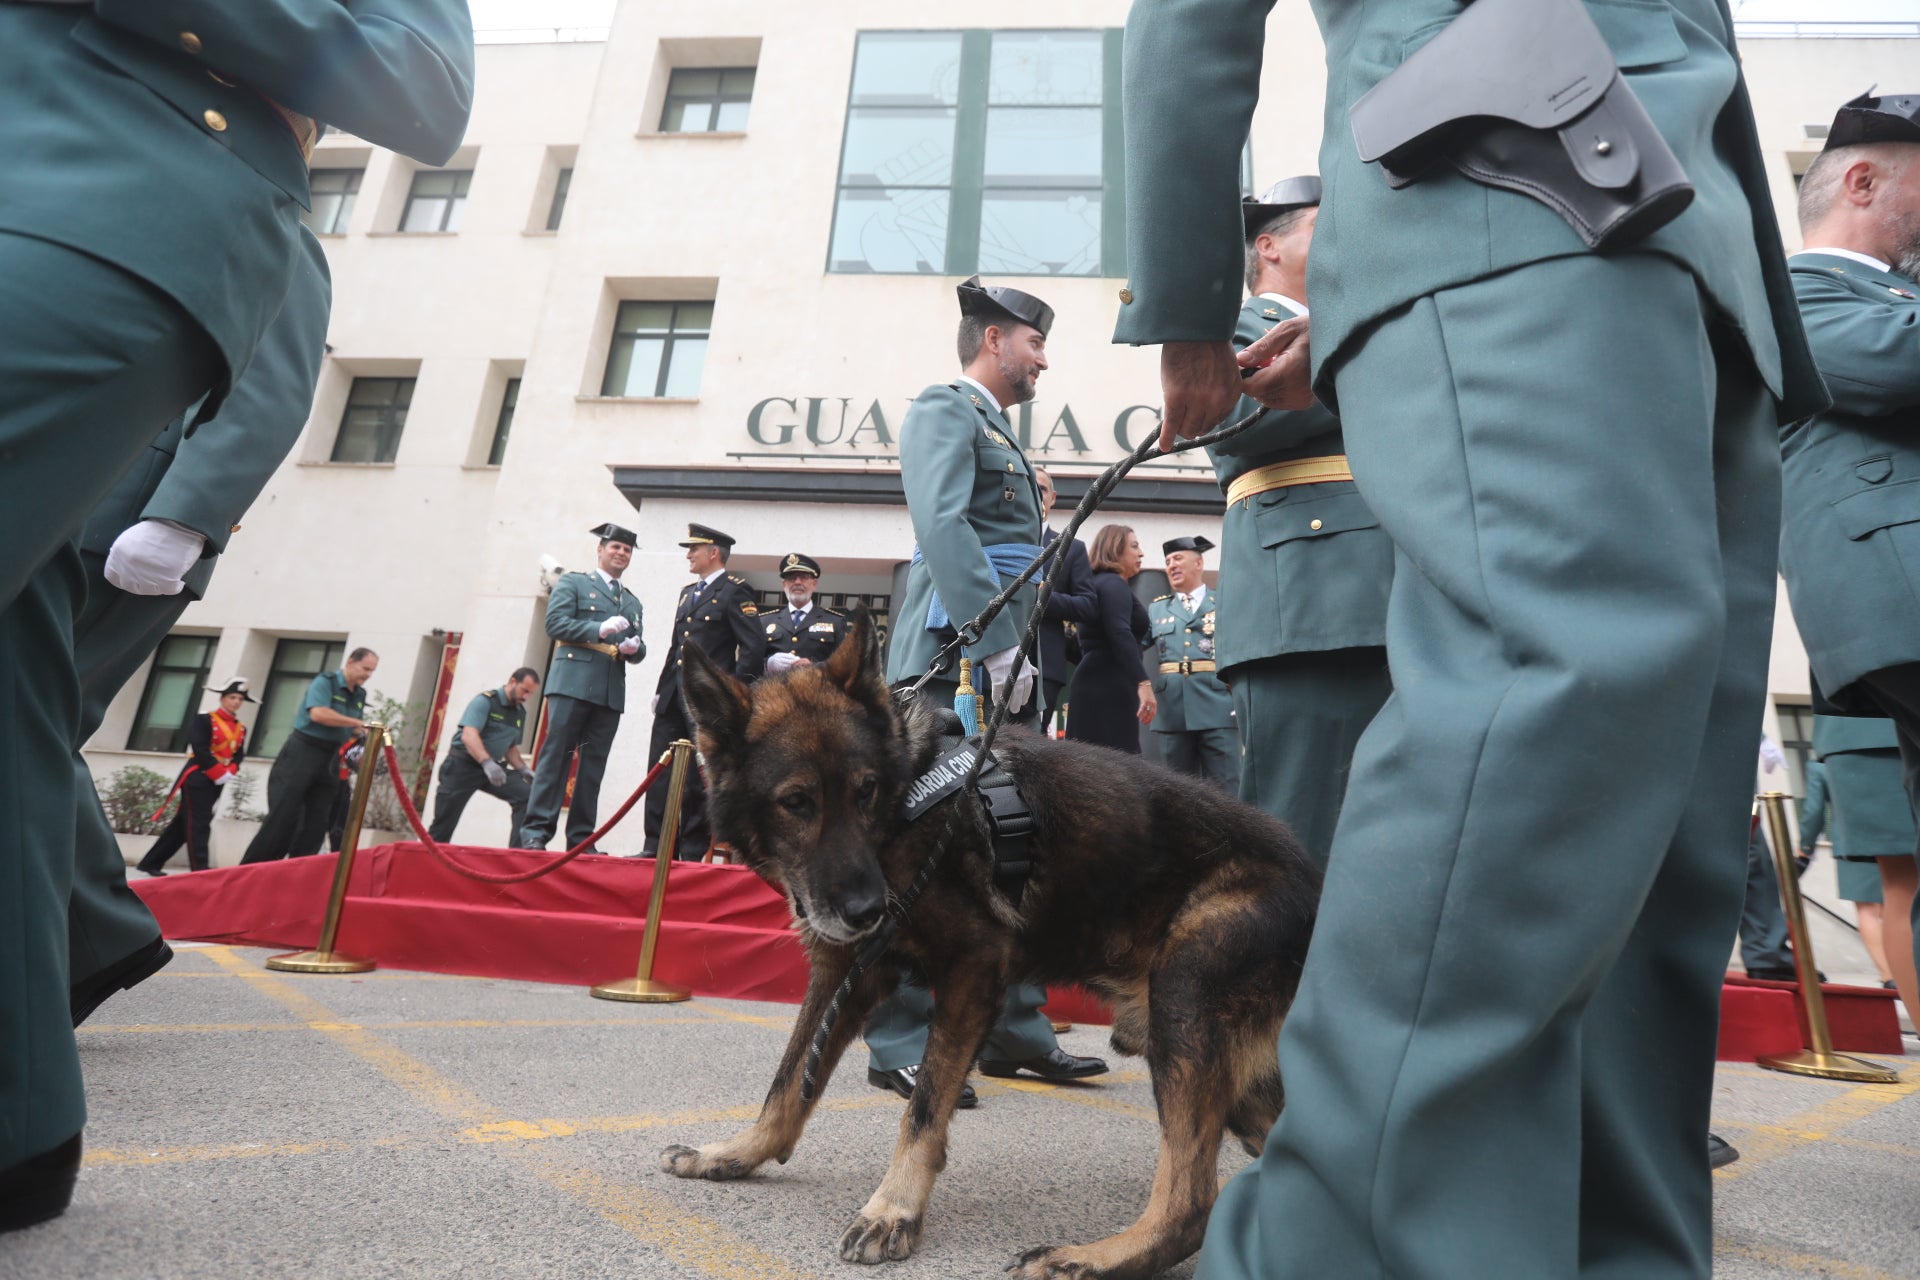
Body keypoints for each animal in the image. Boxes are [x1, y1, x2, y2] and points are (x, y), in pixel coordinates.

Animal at [660, 614, 1320, 1274]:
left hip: (1183, 997)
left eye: (866, 792)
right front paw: (738, 1152)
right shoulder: (844, 969)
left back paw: (1092, 1257)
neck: (909, 800)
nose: (869, 910)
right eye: (796, 802)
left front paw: (893, 1208)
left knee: (1191, 1201)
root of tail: (1317, 882)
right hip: (1228, 1071)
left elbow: (925, 1107)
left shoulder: (971, 970)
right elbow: (789, 1080)